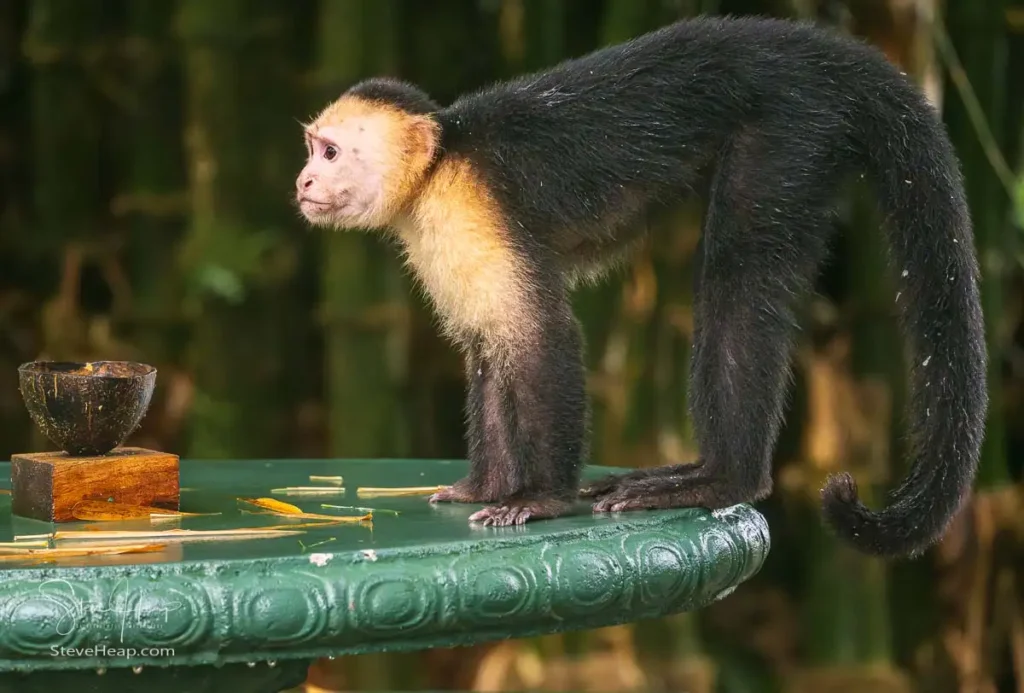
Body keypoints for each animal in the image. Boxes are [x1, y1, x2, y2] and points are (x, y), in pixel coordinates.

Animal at [294, 15, 987, 559]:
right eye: (312, 149)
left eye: (329, 153)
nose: (302, 181)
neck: (439, 165)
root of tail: (812, 49)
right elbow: (489, 345)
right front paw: (485, 487)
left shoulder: (467, 207)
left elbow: (540, 336)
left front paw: (539, 500)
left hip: (790, 128)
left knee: (738, 277)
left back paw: (723, 480)